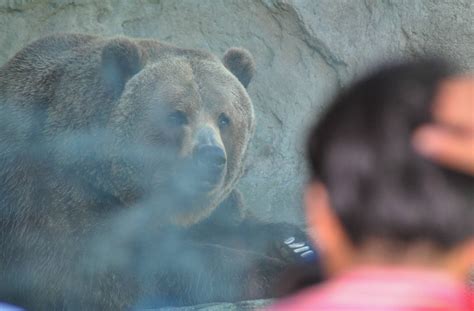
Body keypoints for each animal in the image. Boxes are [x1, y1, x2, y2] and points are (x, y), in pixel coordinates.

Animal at [0, 33, 318, 310]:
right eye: (176, 115)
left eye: (225, 118)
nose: (210, 157)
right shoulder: (57, 198)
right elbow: (126, 271)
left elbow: (235, 219)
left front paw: (297, 244)